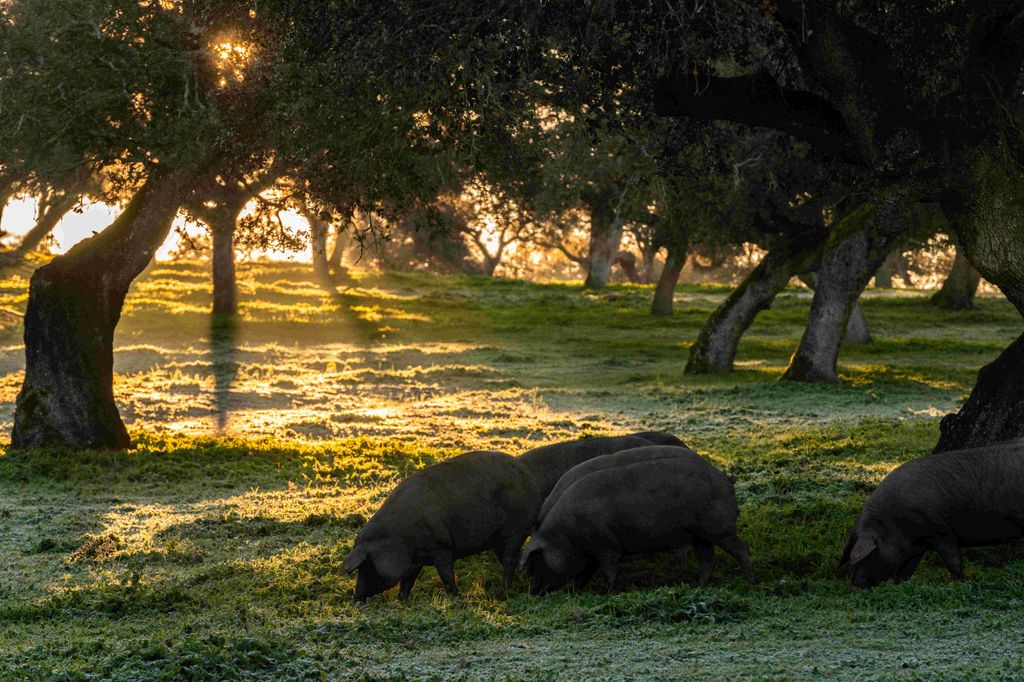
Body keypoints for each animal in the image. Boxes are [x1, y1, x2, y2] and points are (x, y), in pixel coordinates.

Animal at [339, 450, 540, 602]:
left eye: (367, 566)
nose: (355, 598)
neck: (401, 537)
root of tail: (529, 476)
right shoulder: (417, 557)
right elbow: (408, 580)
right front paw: (401, 600)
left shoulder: (441, 546)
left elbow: (446, 574)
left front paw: (457, 597)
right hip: (499, 537)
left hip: (516, 528)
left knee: (509, 558)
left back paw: (505, 589)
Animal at [520, 446, 753, 589]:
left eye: (536, 561)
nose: (533, 592)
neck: (564, 534)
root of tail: (726, 479)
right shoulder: (594, 551)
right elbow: (585, 574)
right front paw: (578, 592)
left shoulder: (606, 545)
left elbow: (609, 571)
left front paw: (607, 593)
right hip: (699, 534)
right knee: (707, 561)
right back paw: (697, 587)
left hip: (719, 528)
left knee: (741, 549)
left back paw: (750, 581)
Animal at [839, 438, 1024, 585]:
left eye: (869, 556)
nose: (855, 586)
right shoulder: (918, 545)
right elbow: (907, 569)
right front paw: (900, 584)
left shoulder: (940, 531)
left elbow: (952, 559)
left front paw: (960, 582)